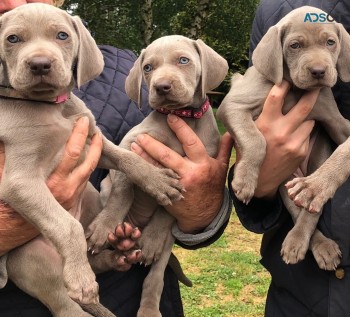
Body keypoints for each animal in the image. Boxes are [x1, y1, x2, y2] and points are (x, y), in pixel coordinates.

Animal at [217, 6, 350, 270]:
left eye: (330, 42)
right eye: (295, 46)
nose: (319, 72)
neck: (296, 91)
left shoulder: (336, 121)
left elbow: (344, 150)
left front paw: (320, 183)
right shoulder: (232, 105)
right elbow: (256, 140)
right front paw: (244, 181)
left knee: (311, 209)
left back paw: (316, 241)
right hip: (283, 181)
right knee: (296, 210)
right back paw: (303, 243)